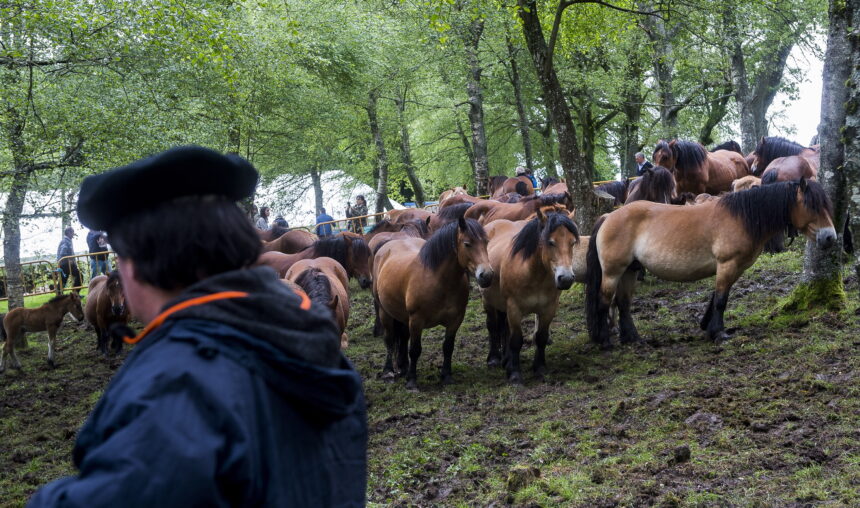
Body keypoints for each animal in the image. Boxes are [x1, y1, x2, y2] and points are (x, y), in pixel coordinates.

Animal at [374, 217, 494, 388]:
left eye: (486, 242)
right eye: (467, 244)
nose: (487, 275)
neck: (438, 280)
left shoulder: (456, 319)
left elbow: (448, 347)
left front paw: (446, 376)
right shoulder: (416, 320)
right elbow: (415, 350)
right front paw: (412, 382)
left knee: (402, 336)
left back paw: (403, 367)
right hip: (385, 312)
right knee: (390, 340)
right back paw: (388, 371)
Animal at [584, 179, 832, 350]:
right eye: (812, 205)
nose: (830, 237)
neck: (741, 218)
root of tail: (608, 217)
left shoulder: (734, 268)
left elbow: (717, 297)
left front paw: (707, 327)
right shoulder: (727, 264)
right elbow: (721, 300)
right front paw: (719, 333)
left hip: (630, 271)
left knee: (623, 303)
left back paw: (633, 338)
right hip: (613, 272)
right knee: (604, 302)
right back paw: (605, 341)